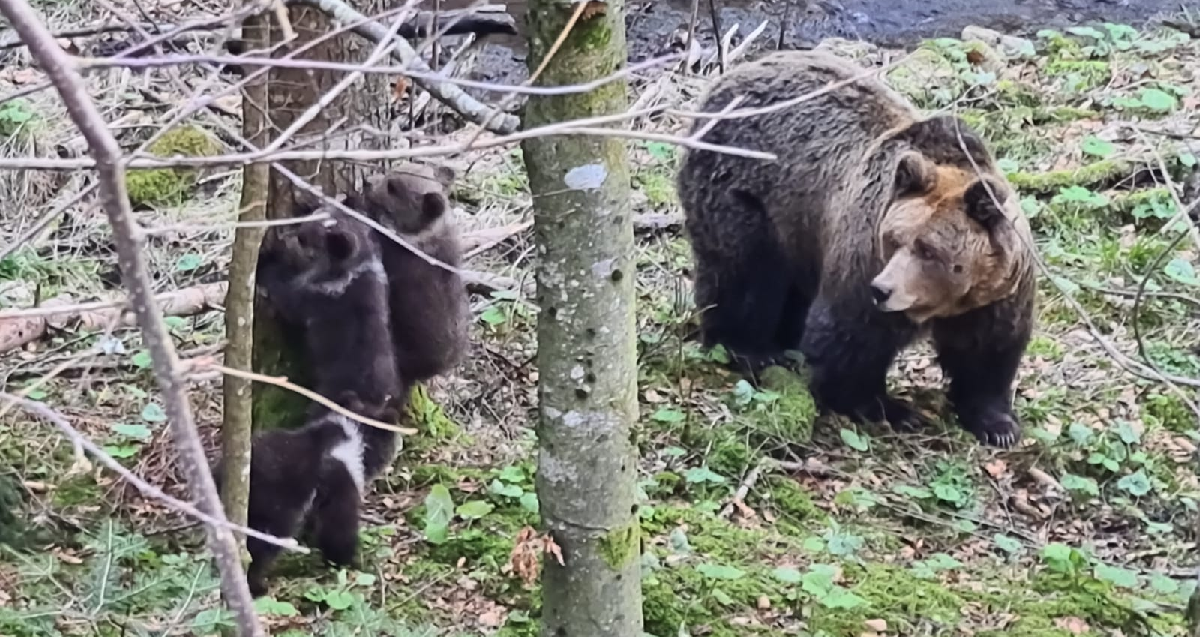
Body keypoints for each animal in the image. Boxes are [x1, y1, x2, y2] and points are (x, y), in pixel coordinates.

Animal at [681, 49, 1036, 448]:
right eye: (894, 238)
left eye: (929, 249)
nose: (883, 289)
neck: (947, 302)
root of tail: (728, 77)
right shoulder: (864, 259)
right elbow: (849, 340)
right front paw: (890, 408)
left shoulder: (996, 294)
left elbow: (989, 352)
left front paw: (997, 423)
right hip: (743, 190)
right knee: (745, 274)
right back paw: (752, 349)